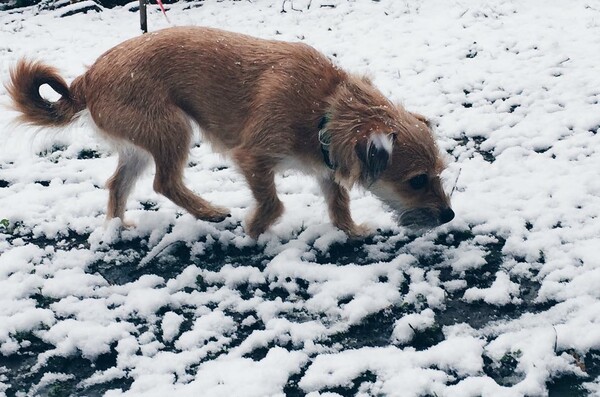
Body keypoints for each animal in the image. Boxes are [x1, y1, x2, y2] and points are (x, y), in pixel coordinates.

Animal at [5, 26, 454, 237]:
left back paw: (117, 227)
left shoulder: (325, 167)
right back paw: (208, 211)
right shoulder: (252, 156)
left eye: (440, 174)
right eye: (417, 181)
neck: (324, 108)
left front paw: (351, 229)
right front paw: (255, 230)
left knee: (118, 184)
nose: (449, 215)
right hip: (172, 128)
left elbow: (337, 201)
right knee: (165, 182)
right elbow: (272, 202)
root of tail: (87, 79)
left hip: (140, 144)